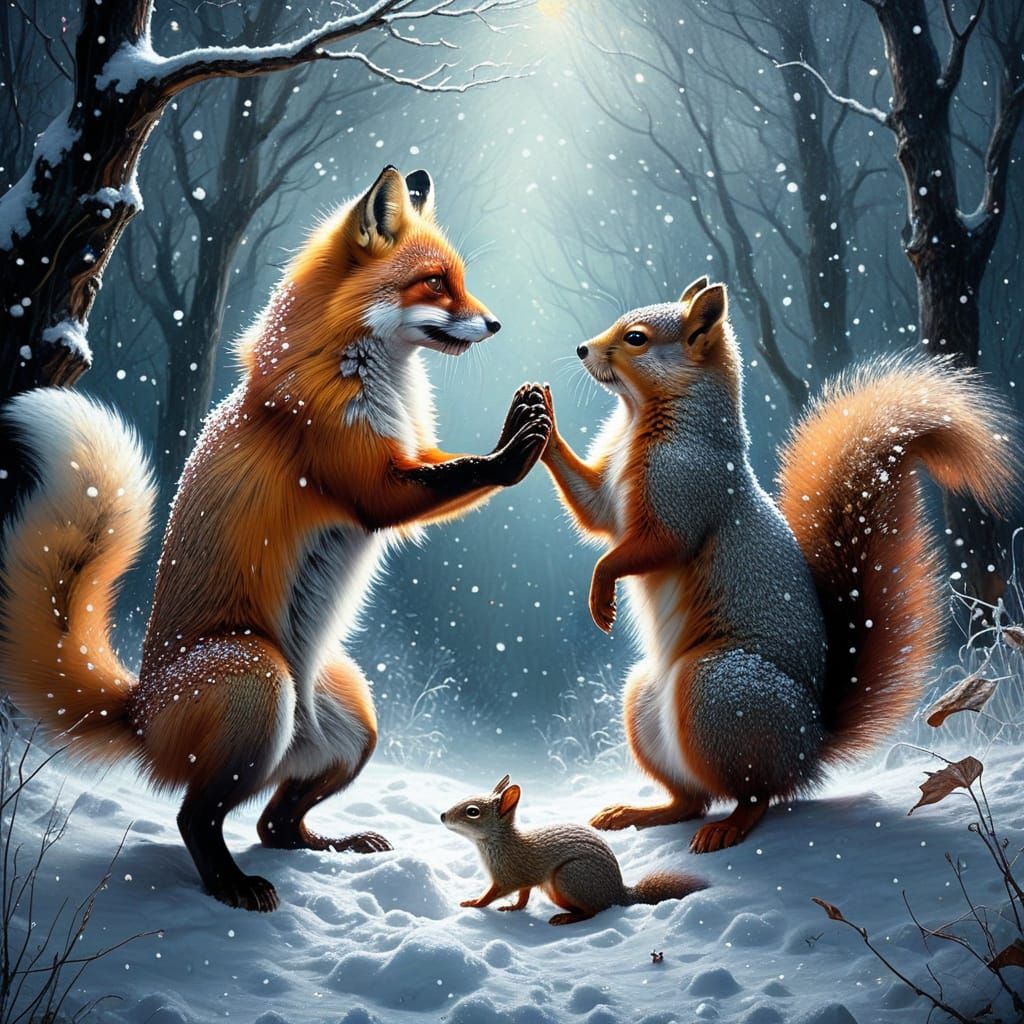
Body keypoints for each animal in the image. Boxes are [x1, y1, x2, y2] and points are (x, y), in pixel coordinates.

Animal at [0, 165, 551, 911]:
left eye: (456, 279)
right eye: (435, 282)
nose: (494, 323)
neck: (359, 374)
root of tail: (138, 710)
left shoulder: (405, 455)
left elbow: (443, 466)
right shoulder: (368, 481)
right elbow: (457, 473)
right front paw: (514, 446)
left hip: (353, 724)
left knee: (272, 822)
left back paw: (333, 846)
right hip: (258, 680)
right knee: (195, 815)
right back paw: (233, 885)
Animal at [442, 775, 705, 925]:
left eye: (472, 811)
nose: (443, 815)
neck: (498, 842)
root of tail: (617, 894)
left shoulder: (508, 875)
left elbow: (493, 893)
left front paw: (474, 903)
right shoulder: (526, 879)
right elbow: (524, 896)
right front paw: (513, 907)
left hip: (570, 877)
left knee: (594, 911)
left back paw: (567, 918)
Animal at [539, 276, 1016, 854]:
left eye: (636, 338)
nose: (582, 349)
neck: (639, 419)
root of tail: (808, 746)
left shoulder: (687, 488)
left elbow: (654, 546)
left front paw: (601, 590)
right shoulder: (611, 494)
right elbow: (592, 510)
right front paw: (540, 420)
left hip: (719, 691)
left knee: (755, 793)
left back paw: (728, 826)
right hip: (646, 703)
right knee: (691, 799)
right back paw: (639, 811)